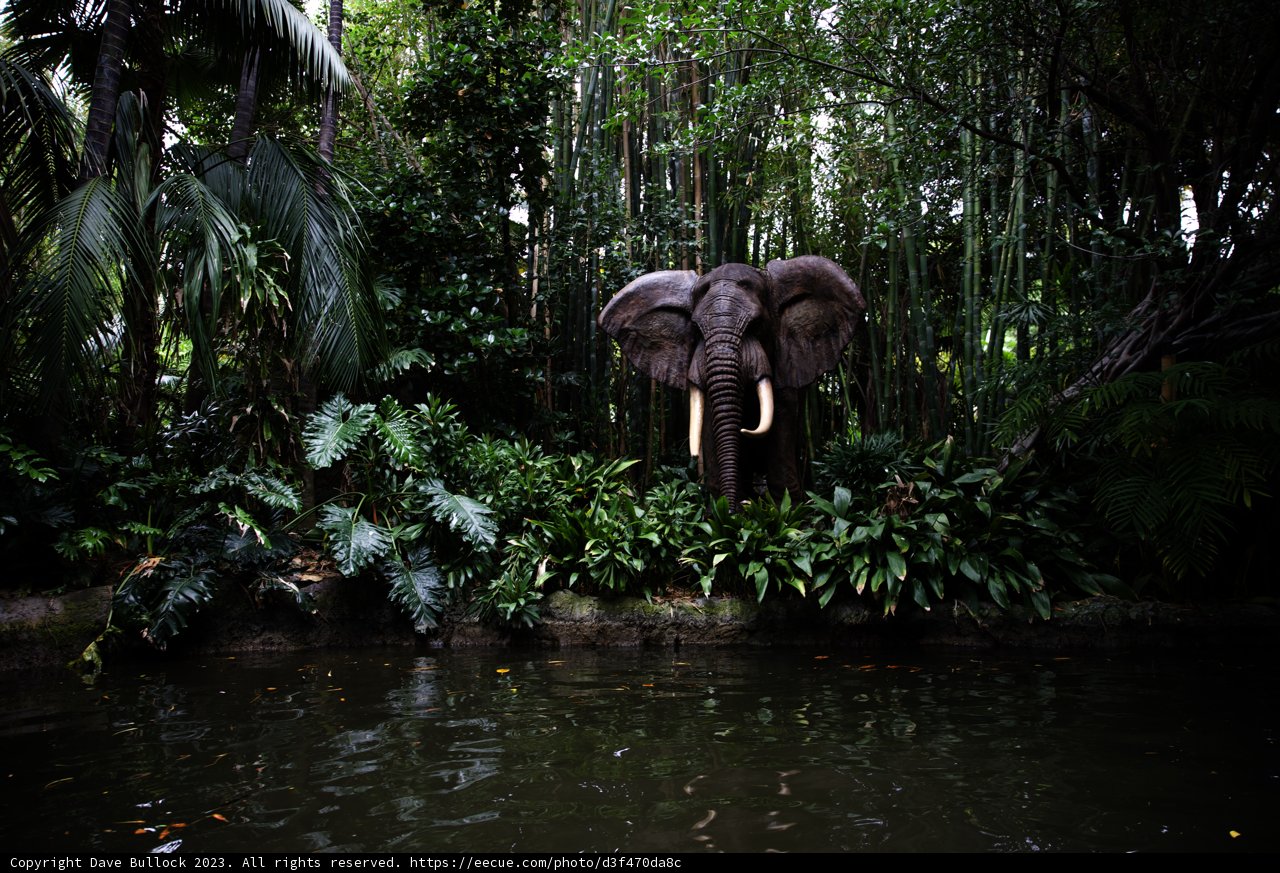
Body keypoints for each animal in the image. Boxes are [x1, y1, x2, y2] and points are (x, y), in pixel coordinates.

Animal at [599, 256, 865, 509]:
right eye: (696, 329)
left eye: (757, 324)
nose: (738, 508)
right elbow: (708, 428)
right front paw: (722, 513)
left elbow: (781, 426)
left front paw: (786, 511)